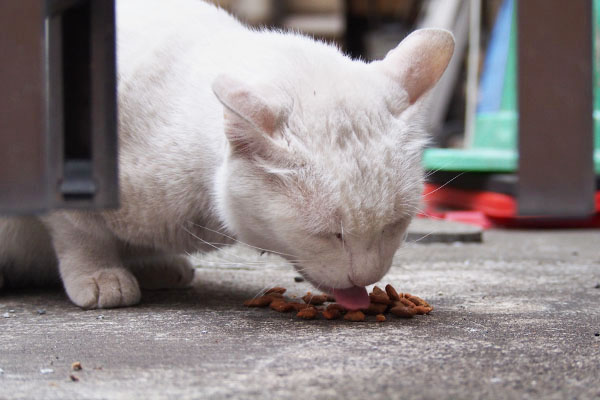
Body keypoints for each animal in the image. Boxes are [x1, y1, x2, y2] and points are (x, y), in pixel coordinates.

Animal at [0, 0, 454, 310]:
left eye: (394, 226)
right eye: (329, 234)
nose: (367, 275)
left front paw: (150, 262)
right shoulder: (64, 166)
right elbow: (79, 229)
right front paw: (100, 272)